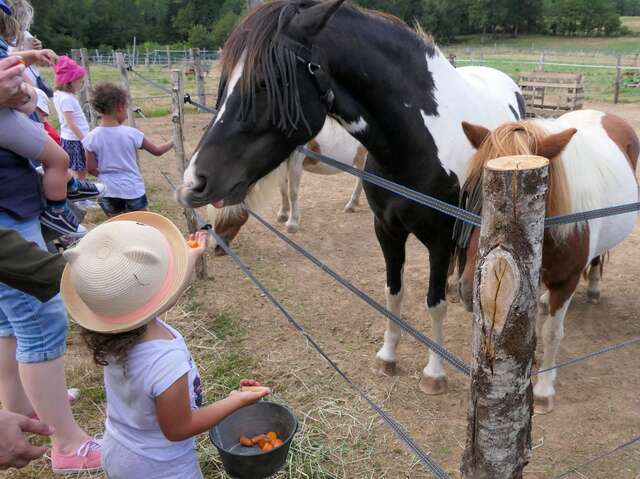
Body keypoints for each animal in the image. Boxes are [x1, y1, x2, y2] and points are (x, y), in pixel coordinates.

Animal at [176, 0, 524, 396]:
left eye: (268, 83)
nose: (194, 182)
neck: (420, 141)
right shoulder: (386, 230)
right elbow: (393, 294)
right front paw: (388, 356)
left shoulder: (438, 238)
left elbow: (433, 304)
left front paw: (434, 373)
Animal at [458, 108, 636, 412]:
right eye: (470, 190)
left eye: (532, 203)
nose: (472, 291)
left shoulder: (567, 281)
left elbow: (552, 332)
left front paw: (543, 390)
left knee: (596, 261)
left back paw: (594, 289)